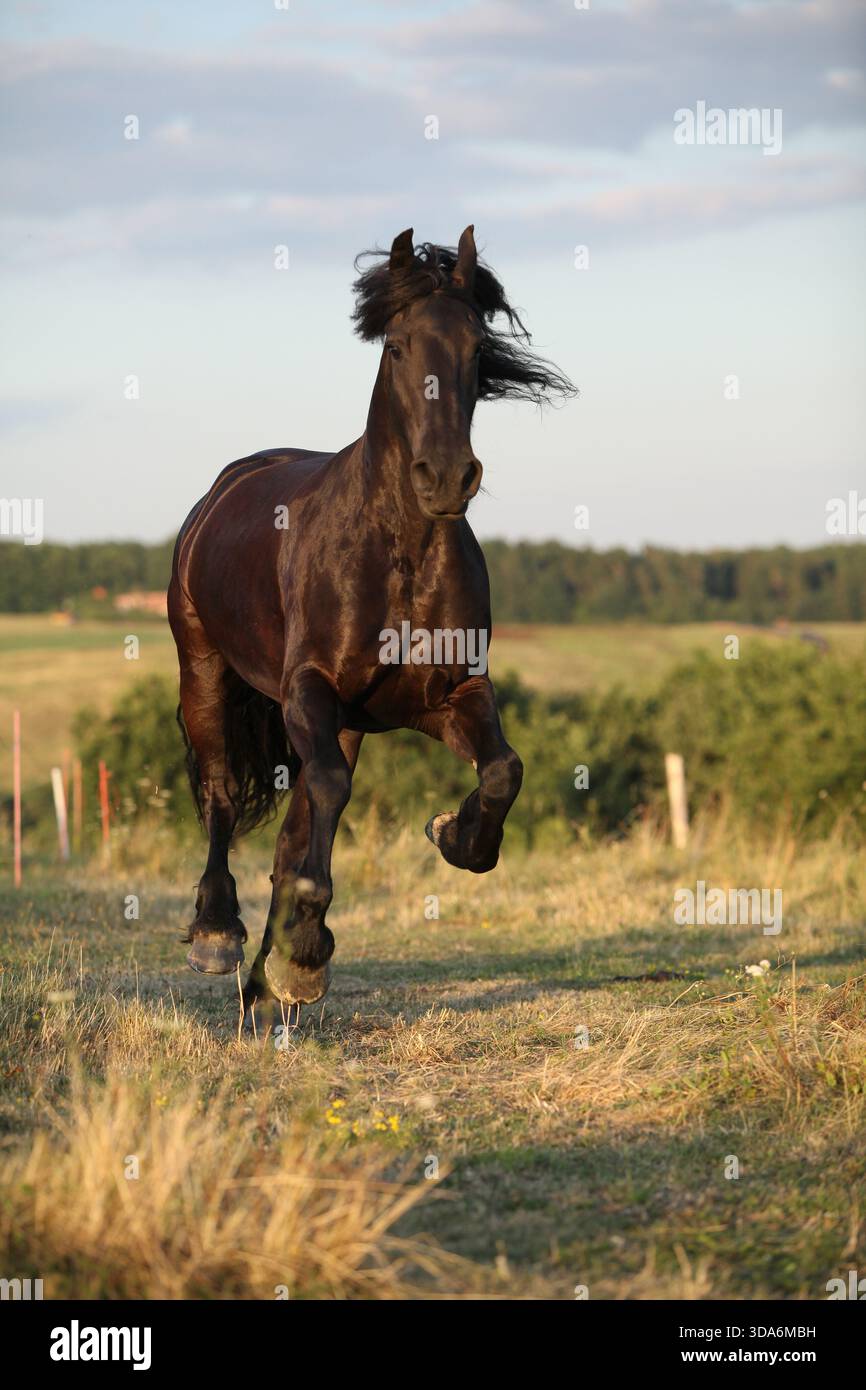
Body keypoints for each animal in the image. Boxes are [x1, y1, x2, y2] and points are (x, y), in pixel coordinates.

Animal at [168, 225, 574, 1028]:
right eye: (395, 346)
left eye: (477, 347)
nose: (445, 477)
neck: (398, 553)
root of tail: (222, 490)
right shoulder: (308, 691)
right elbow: (316, 794)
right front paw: (302, 946)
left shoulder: (446, 695)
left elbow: (503, 770)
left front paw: (454, 835)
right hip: (205, 670)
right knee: (223, 794)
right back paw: (220, 937)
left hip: (347, 721)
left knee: (295, 824)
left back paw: (267, 984)